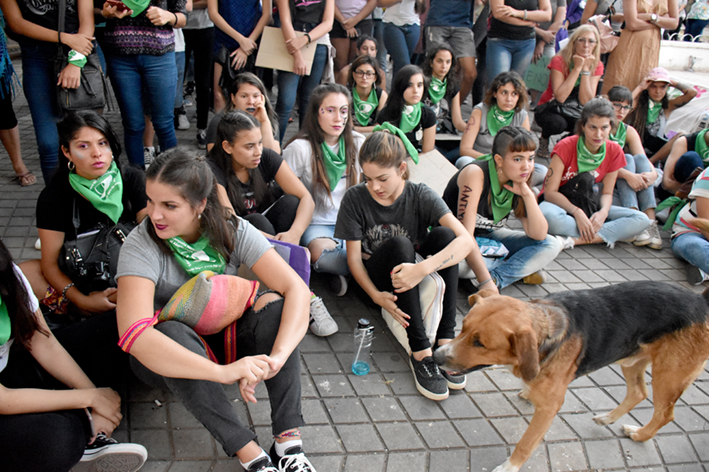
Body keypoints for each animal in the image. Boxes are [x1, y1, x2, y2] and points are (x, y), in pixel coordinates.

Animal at [432, 280, 708, 472]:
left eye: (480, 343)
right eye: (463, 328)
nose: (435, 357)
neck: (547, 333)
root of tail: (700, 301)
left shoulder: (550, 408)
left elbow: (526, 443)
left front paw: (510, 466)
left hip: (668, 376)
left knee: (665, 414)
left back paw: (640, 434)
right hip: (632, 360)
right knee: (639, 392)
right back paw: (608, 418)